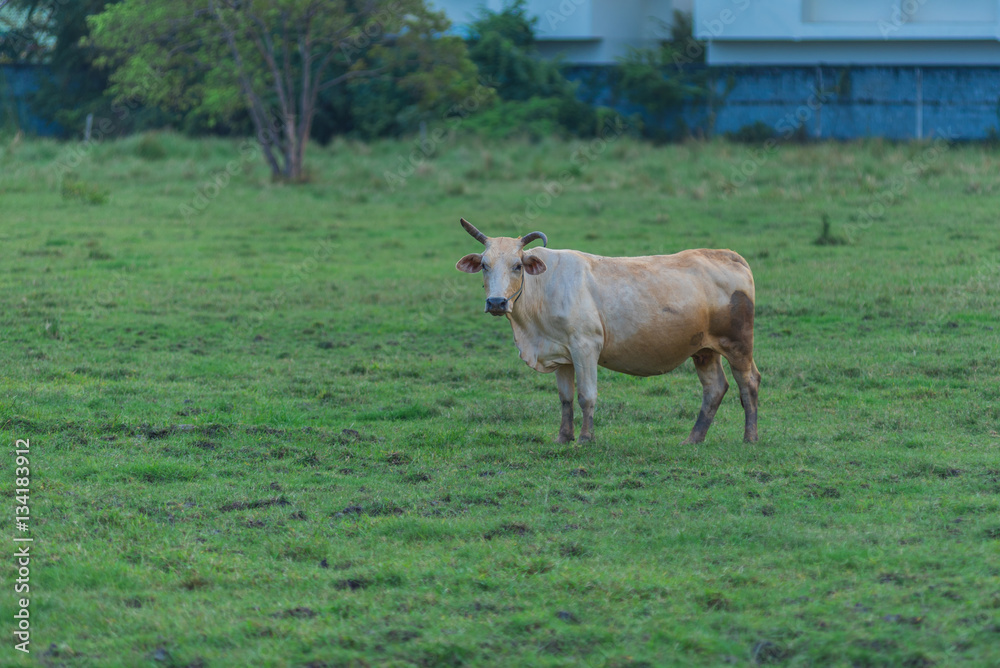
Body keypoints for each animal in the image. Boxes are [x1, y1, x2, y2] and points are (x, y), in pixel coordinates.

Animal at [454, 219, 756, 446]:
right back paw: (693, 439)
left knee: (748, 382)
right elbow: (565, 399)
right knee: (714, 388)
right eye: (484, 265)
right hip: (704, 350)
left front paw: (586, 439)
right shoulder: (561, 354)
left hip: (738, 345)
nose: (496, 302)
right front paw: (564, 437)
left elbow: (587, 395)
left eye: (517, 265)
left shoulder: (585, 346)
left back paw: (750, 438)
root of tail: (726, 254)